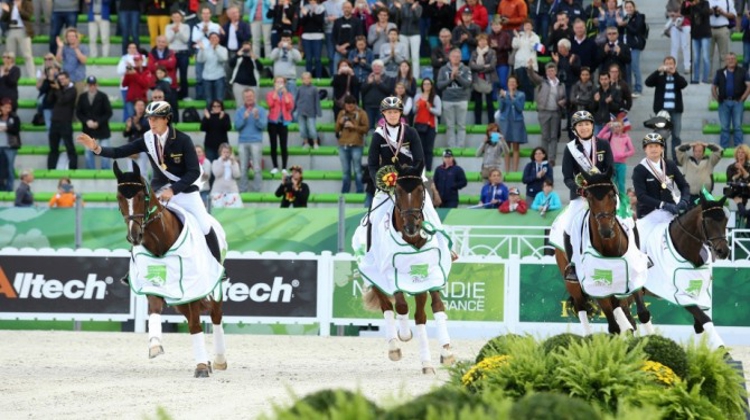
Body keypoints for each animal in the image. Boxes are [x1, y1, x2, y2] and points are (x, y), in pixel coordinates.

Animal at [113, 161, 228, 378]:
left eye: (141, 196)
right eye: (119, 198)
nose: (134, 236)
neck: (161, 241)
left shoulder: (192, 287)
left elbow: (195, 324)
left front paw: (201, 367)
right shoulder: (153, 284)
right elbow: (155, 311)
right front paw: (154, 346)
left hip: (214, 287)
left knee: (216, 315)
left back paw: (218, 361)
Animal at [360, 164, 456, 374]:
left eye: (421, 190)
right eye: (397, 191)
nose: (412, 226)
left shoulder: (430, 275)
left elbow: (432, 310)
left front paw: (443, 354)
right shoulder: (391, 275)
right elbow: (402, 306)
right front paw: (404, 335)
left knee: (424, 312)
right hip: (375, 278)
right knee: (388, 307)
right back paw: (394, 347)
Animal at [552, 169, 652, 336]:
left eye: (611, 194)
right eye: (589, 197)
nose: (606, 230)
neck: (608, 245)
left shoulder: (633, 275)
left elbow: (643, 314)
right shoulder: (595, 285)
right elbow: (613, 326)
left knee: (619, 308)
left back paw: (628, 327)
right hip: (573, 283)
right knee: (582, 307)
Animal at [636, 193, 732, 348]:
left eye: (725, 220)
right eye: (708, 221)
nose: (723, 252)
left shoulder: (701, 294)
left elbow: (699, 326)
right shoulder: (680, 295)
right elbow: (705, 319)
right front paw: (723, 351)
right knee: (641, 314)